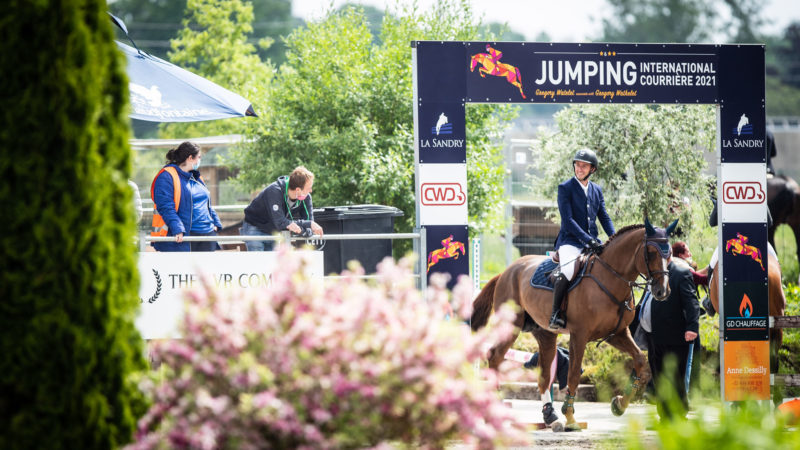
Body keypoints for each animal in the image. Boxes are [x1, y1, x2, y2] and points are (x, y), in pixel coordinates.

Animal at [468, 220, 676, 430]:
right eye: (651, 252)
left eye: (670, 254)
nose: (662, 291)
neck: (611, 278)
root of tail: (507, 271)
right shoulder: (579, 335)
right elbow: (574, 374)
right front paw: (570, 417)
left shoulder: (618, 334)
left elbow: (641, 361)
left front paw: (619, 404)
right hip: (511, 325)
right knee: (494, 356)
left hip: (545, 334)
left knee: (543, 375)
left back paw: (550, 417)